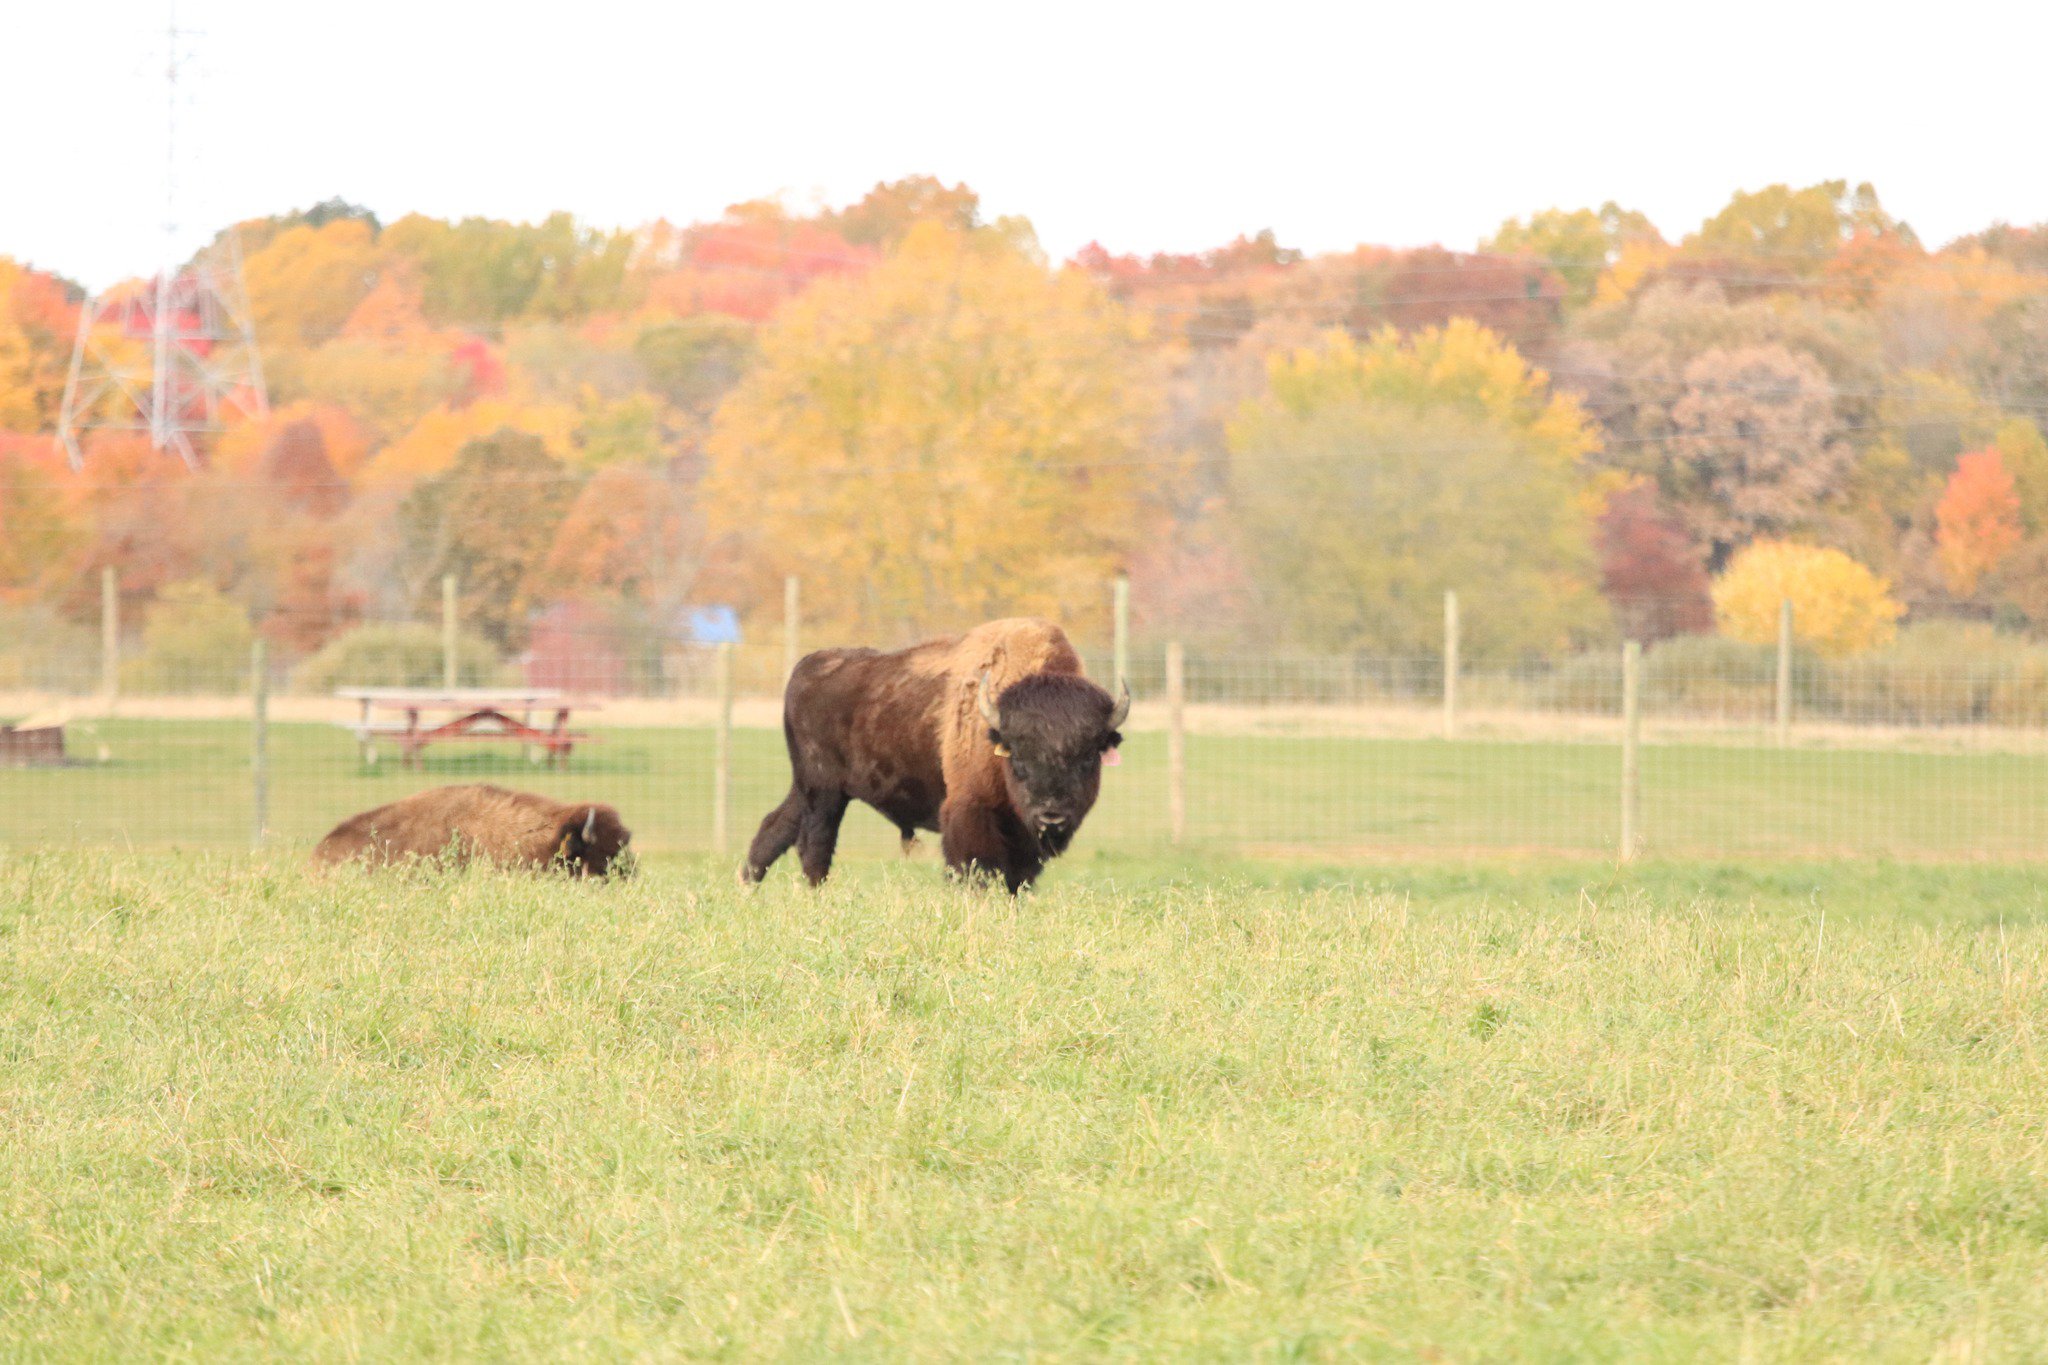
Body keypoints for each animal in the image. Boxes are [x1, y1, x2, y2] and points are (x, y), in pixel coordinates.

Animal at [742, 617, 1128, 892]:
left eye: (1088, 758)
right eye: (1017, 756)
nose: (1052, 817)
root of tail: (806, 666)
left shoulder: (1022, 836)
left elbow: (1017, 879)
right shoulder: (970, 813)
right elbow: (974, 870)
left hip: (806, 787)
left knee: (775, 826)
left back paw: (748, 889)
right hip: (825, 792)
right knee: (815, 846)